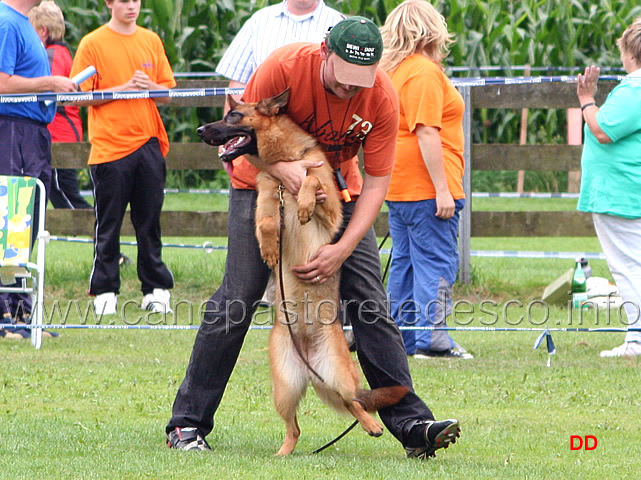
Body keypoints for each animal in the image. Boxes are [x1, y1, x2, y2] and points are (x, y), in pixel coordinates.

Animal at [196, 89, 404, 454]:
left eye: (234, 116)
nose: (199, 130)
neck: (287, 158)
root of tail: (308, 358)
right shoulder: (267, 200)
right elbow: (266, 222)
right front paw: (269, 248)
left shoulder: (331, 208)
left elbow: (309, 178)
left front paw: (305, 204)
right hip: (285, 389)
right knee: (295, 427)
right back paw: (283, 454)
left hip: (339, 375)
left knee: (355, 401)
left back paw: (372, 424)